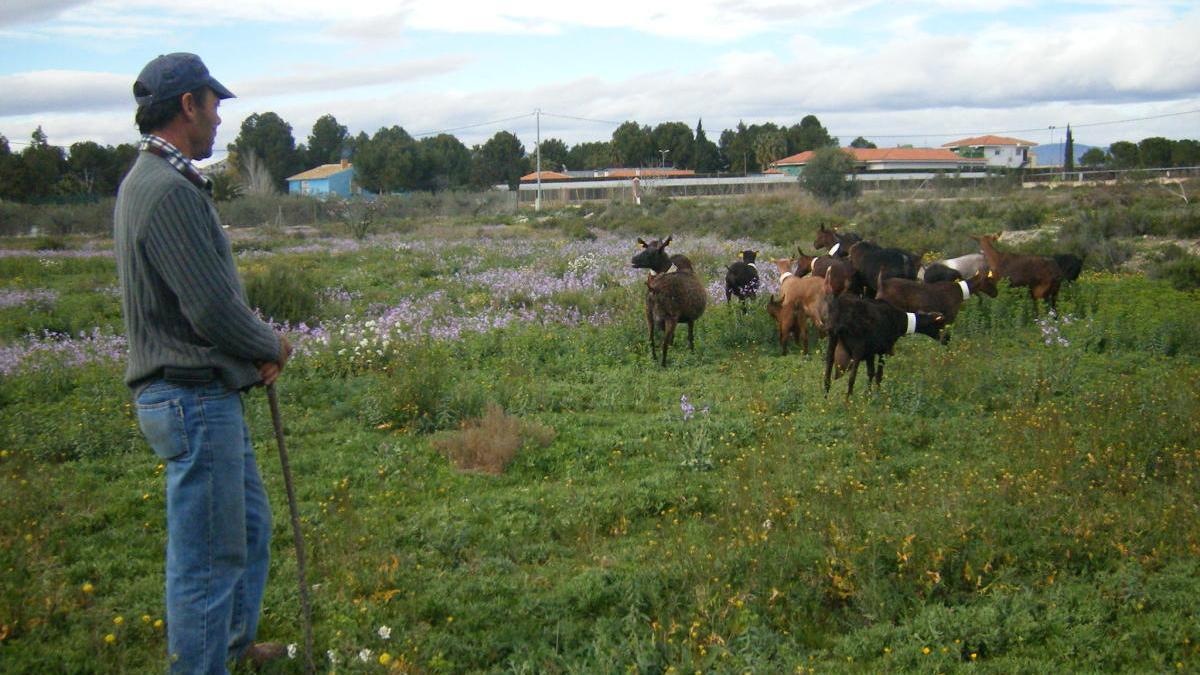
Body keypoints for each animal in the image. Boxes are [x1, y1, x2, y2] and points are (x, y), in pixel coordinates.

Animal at [633, 234, 705, 365]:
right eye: (645, 247)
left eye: (654, 252)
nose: (633, 260)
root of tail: (653, 289)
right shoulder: (690, 317)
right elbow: (690, 337)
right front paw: (692, 353)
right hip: (670, 317)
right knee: (664, 342)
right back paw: (664, 364)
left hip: (649, 316)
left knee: (651, 340)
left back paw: (655, 360)